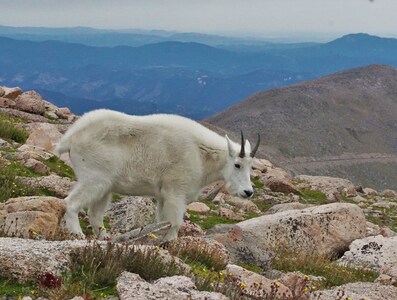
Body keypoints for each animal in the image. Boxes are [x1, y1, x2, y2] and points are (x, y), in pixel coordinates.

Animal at [55, 109, 260, 240]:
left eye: (251, 166)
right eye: (237, 165)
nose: (248, 192)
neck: (202, 155)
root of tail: (71, 138)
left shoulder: (163, 196)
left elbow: (163, 222)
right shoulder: (176, 193)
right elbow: (175, 223)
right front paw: (170, 245)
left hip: (105, 187)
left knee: (95, 214)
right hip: (94, 179)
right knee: (71, 203)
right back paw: (78, 234)